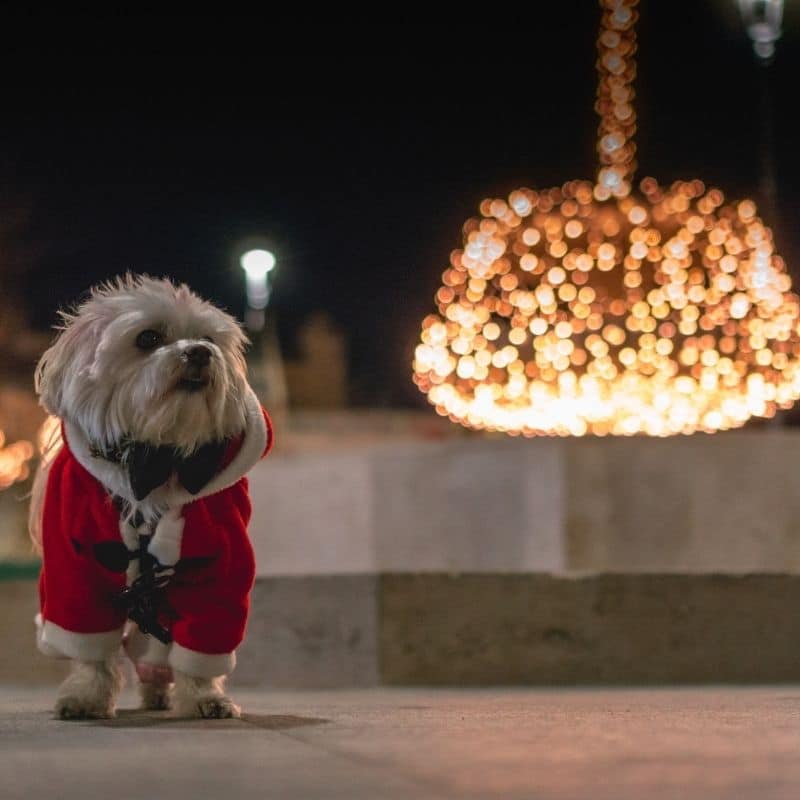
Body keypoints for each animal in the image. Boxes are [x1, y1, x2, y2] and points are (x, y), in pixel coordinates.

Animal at [28, 276, 274, 720]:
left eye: (208, 338)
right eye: (148, 338)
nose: (200, 352)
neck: (157, 457)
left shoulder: (220, 563)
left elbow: (205, 636)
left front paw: (205, 697)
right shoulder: (75, 565)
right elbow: (88, 642)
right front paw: (87, 695)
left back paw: (159, 689)